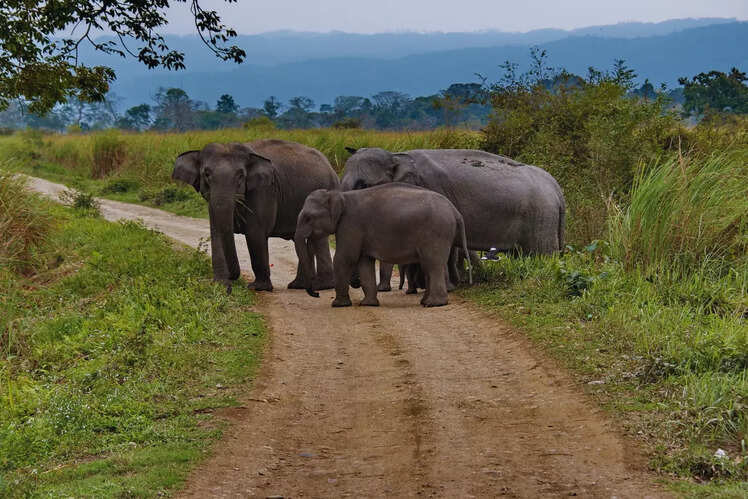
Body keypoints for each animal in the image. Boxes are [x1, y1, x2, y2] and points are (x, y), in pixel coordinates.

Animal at [172, 139, 339, 293]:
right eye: (206, 174)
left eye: (241, 175)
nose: (232, 278)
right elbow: (216, 231)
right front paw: (220, 285)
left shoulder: (264, 191)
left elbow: (254, 233)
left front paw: (258, 288)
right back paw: (299, 286)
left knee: (317, 238)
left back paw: (320, 286)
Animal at [294, 183, 471, 307]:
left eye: (308, 217)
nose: (316, 294)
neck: (340, 195)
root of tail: (456, 212)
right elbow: (364, 262)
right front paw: (368, 304)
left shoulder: (351, 224)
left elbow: (345, 259)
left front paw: (338, 305)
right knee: (430, 265)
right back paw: (425, 301)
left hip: (436, 233)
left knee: (432, 264)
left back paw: (432, 304)